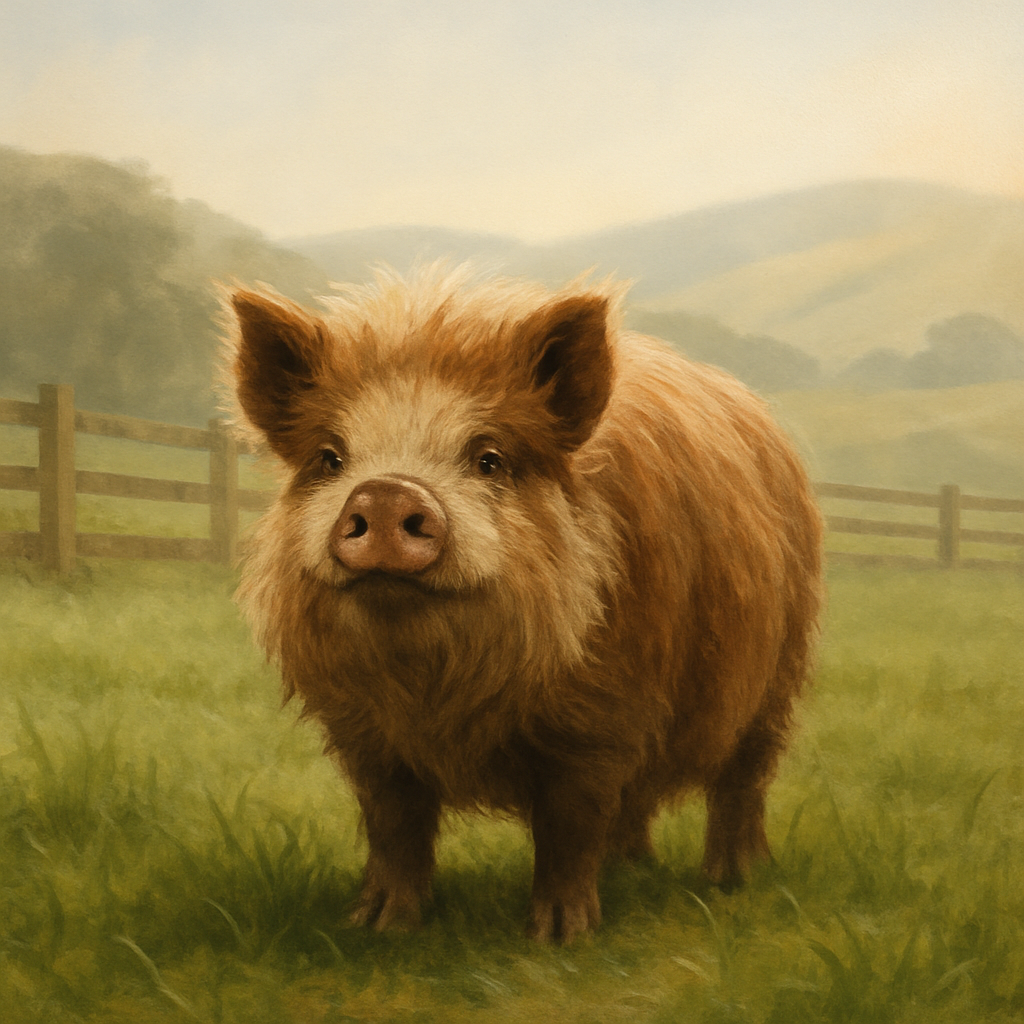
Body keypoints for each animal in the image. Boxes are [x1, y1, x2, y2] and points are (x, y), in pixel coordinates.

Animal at [224, 265, 823, 943]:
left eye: (489, 459)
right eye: (330, 458)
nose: (385, 492)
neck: (435, 691)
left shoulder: (602, 715)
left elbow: (569, 823)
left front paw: (560, 937)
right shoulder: (364, 734)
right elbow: (393, 823)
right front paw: (376, 926)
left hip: (778, 675)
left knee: (742, 782)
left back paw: (732, 880)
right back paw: (633, 871)